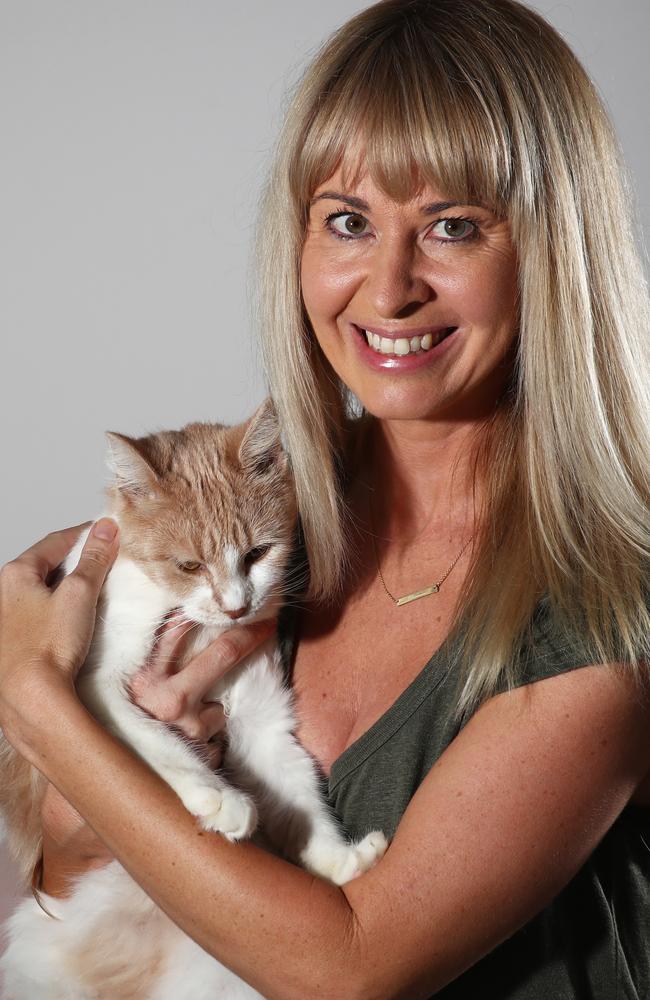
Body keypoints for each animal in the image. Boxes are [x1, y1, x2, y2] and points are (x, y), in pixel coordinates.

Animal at [0, 402, 384, 1000]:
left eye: (257, 554)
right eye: (188, 566)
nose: (235, 607)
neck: (200, 632)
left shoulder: (259, 720)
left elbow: (297, 793)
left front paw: (337, 860)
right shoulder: (95, 688)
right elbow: (162, 743)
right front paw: (218, 797)